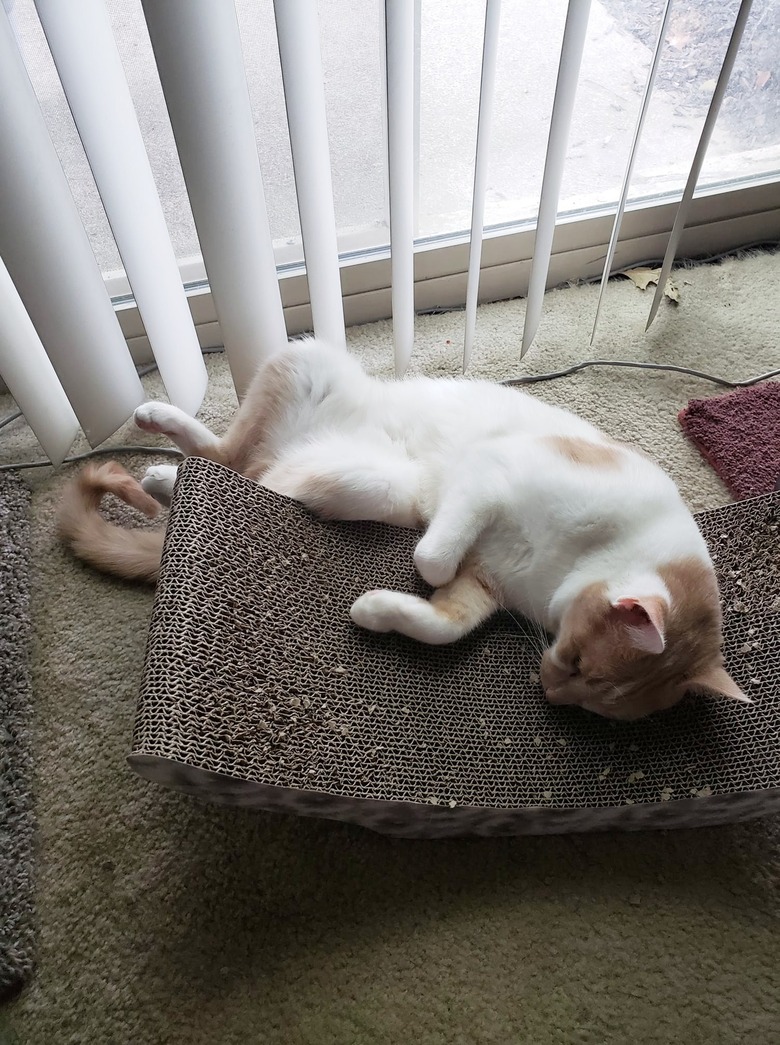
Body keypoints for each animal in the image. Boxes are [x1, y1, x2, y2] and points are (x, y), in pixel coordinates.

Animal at [59, 338, 748, 723]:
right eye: (576, 662)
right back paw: (157, 430)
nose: (551, 694)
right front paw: (412, 571)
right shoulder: (489, 476)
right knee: (227, 455)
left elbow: (443, 624)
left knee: (246, 471)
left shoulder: (485, 585)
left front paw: (377, 611)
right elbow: (434, 558)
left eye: (593, 702)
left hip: (363, 483)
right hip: (311, 367)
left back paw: (167, 482)